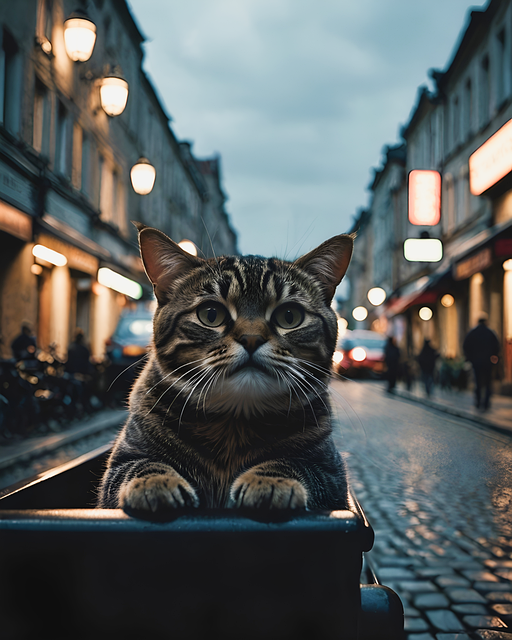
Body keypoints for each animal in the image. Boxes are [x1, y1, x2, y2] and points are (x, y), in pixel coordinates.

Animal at [99, 225, 356, 516]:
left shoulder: (332, 473)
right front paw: (156, 482)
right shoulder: (123, 461)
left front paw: (269, 480)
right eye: (211, 314)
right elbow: (143, 465)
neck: (234, 422)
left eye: (289, 316)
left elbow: (294, 463)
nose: (251, 338)